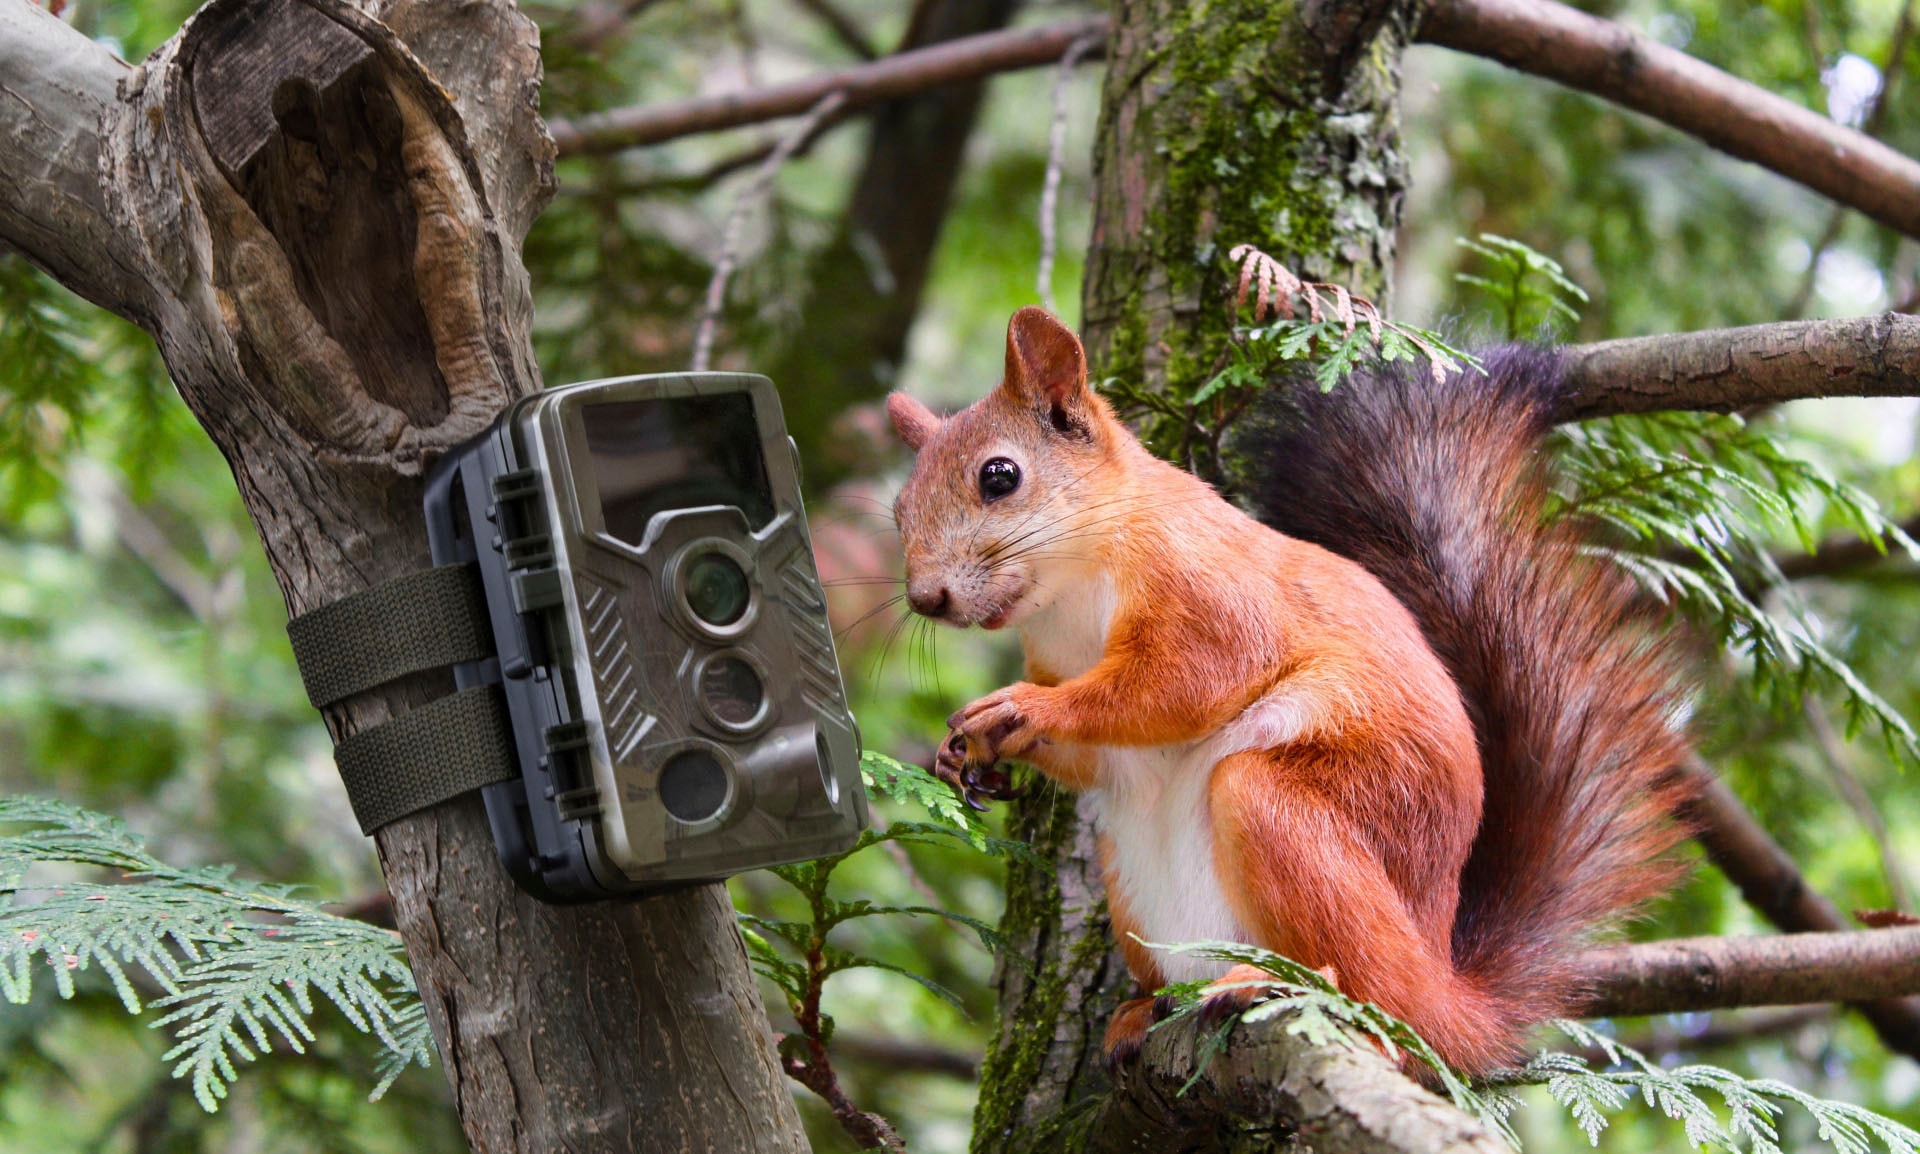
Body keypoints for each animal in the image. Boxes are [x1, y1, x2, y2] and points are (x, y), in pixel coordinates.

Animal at [883, 303, 1697, 1067]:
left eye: (999, 476)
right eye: (897, 510)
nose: (925, 599)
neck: (1072, 592)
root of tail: (1446, 992)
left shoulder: (1211, 590)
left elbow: (1181, 683)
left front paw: (1027, 709)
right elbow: (1098, 754)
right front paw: (968, 757)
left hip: (1291, 814)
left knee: (1375, 999)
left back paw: (1277, 984)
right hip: (1132, 884)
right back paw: (1143, 1010)